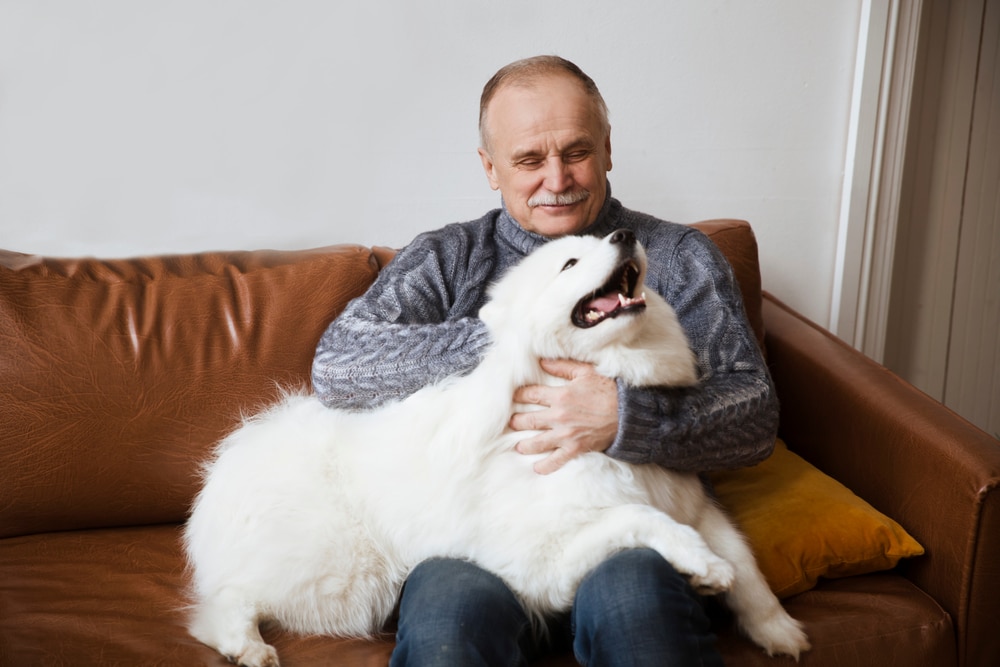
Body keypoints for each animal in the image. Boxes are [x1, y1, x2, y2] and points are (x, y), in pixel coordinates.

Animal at [186, 228, 812, 664]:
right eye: (569, 263)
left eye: (599, 244)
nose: (623, 235)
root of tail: (228, 463)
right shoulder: (540, 558)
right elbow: (642, 519)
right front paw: (701, 564)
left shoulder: (698, 506)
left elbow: (746, 565)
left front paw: (775, 626)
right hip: (344, 579)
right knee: (225, 599)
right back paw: (245, 645)